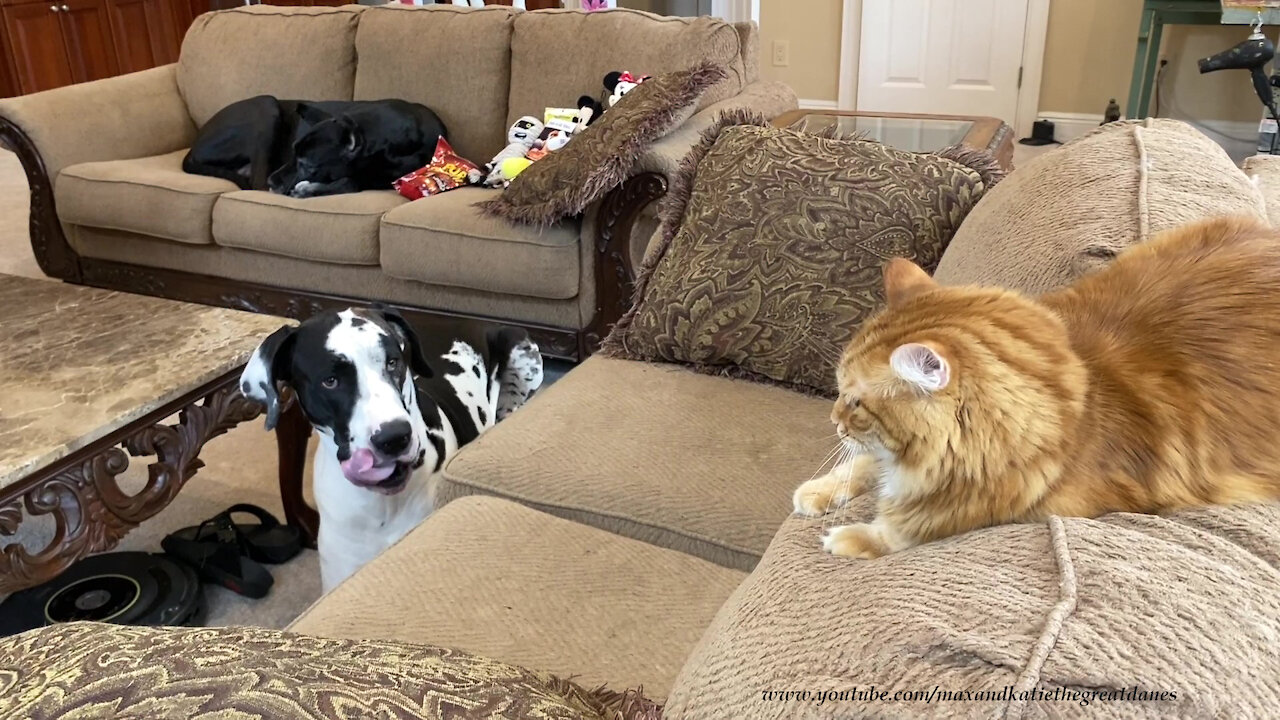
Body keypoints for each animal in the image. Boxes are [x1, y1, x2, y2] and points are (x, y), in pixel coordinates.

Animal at [183, 94, 448, 198]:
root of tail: (193, 146)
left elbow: (351, 182)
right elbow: (349, 181)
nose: (273, 181)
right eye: (292, 152)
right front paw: (307, 189)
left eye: (307, 164)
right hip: (267, 106)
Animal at [793, 215, 1280, 558]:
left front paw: (854, 537)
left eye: (855, 402)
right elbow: (863, 464)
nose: (834, 421)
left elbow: (909, 526)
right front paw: (817, 490)